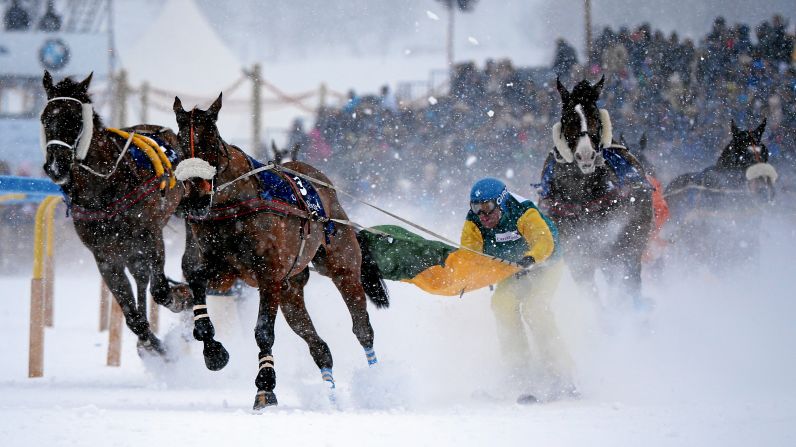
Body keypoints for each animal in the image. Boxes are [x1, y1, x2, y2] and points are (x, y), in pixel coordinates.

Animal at [173, 93, 390, 410]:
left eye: (210, 140)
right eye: (179, 145)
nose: (196, 198)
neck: (234, 204)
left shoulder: (269, 277)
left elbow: (263, 331)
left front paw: (265, 387)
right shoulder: (222, 272)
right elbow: (197, 286)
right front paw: (214, 352)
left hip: (342, 266)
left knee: (362, 327)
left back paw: (377, 384)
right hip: (291, 291)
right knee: (319, 346)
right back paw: (332, 395)